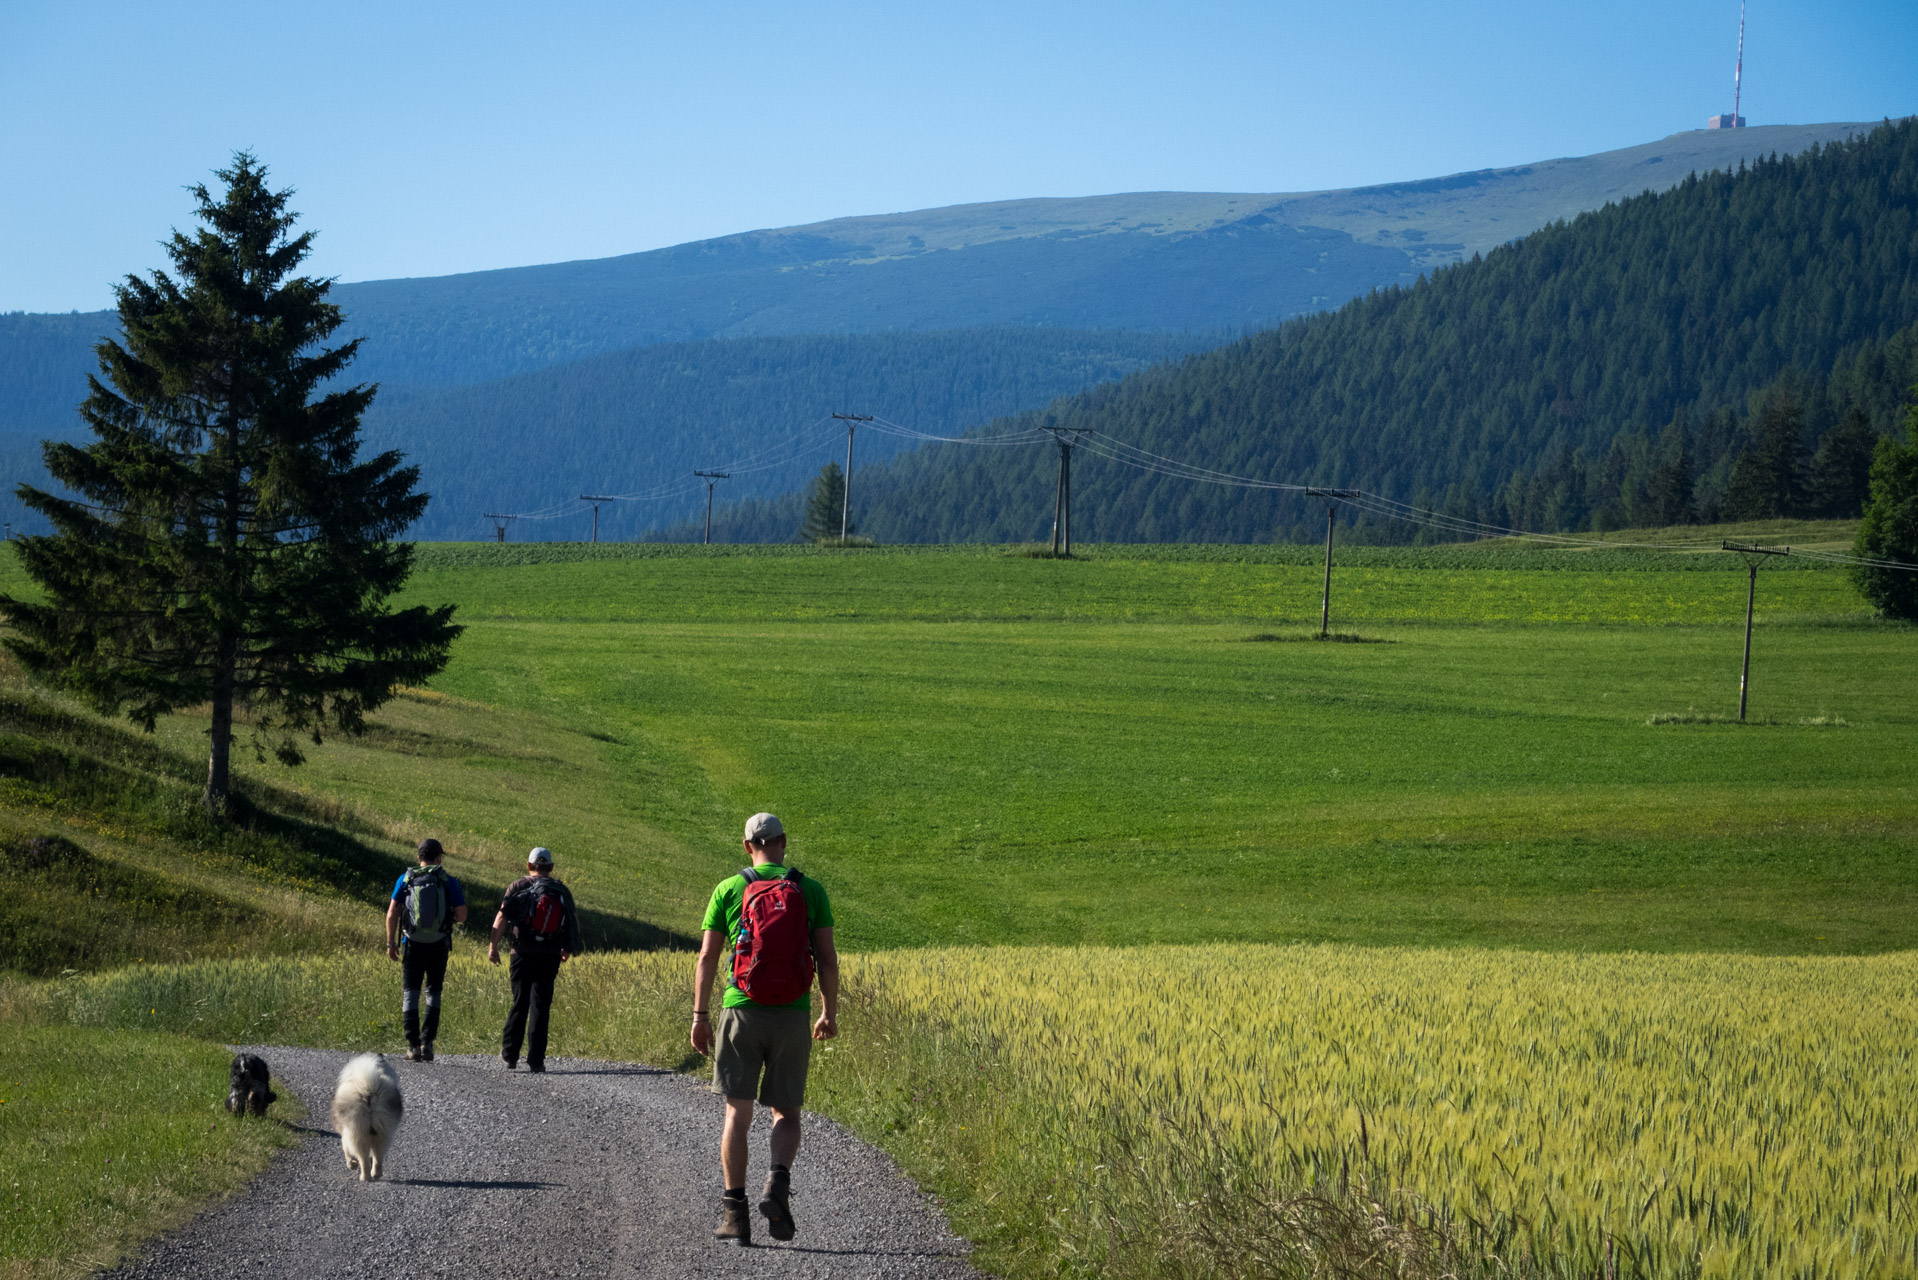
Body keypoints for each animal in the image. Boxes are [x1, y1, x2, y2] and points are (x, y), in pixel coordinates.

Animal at [327, 1059, 402, 1189]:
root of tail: (369, 1092)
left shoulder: (346, 1134)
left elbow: (346, 1150)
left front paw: (352, 1164)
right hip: (382, 1132)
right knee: (378, 1156)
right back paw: (375, 1174)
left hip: (358, 1132)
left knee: (363, 1158)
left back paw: (364, 1177)